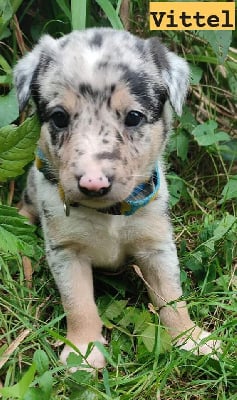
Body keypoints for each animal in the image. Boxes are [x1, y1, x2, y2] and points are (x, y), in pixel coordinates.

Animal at [13, 28, 219, 368]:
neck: (108, 213)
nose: (93, 183)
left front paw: (191, 338)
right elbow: (79, 304)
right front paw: (83, 352)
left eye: (133, 117)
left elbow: (171, 295)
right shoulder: (65, 252)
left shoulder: (157, 244)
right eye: (59, 117)